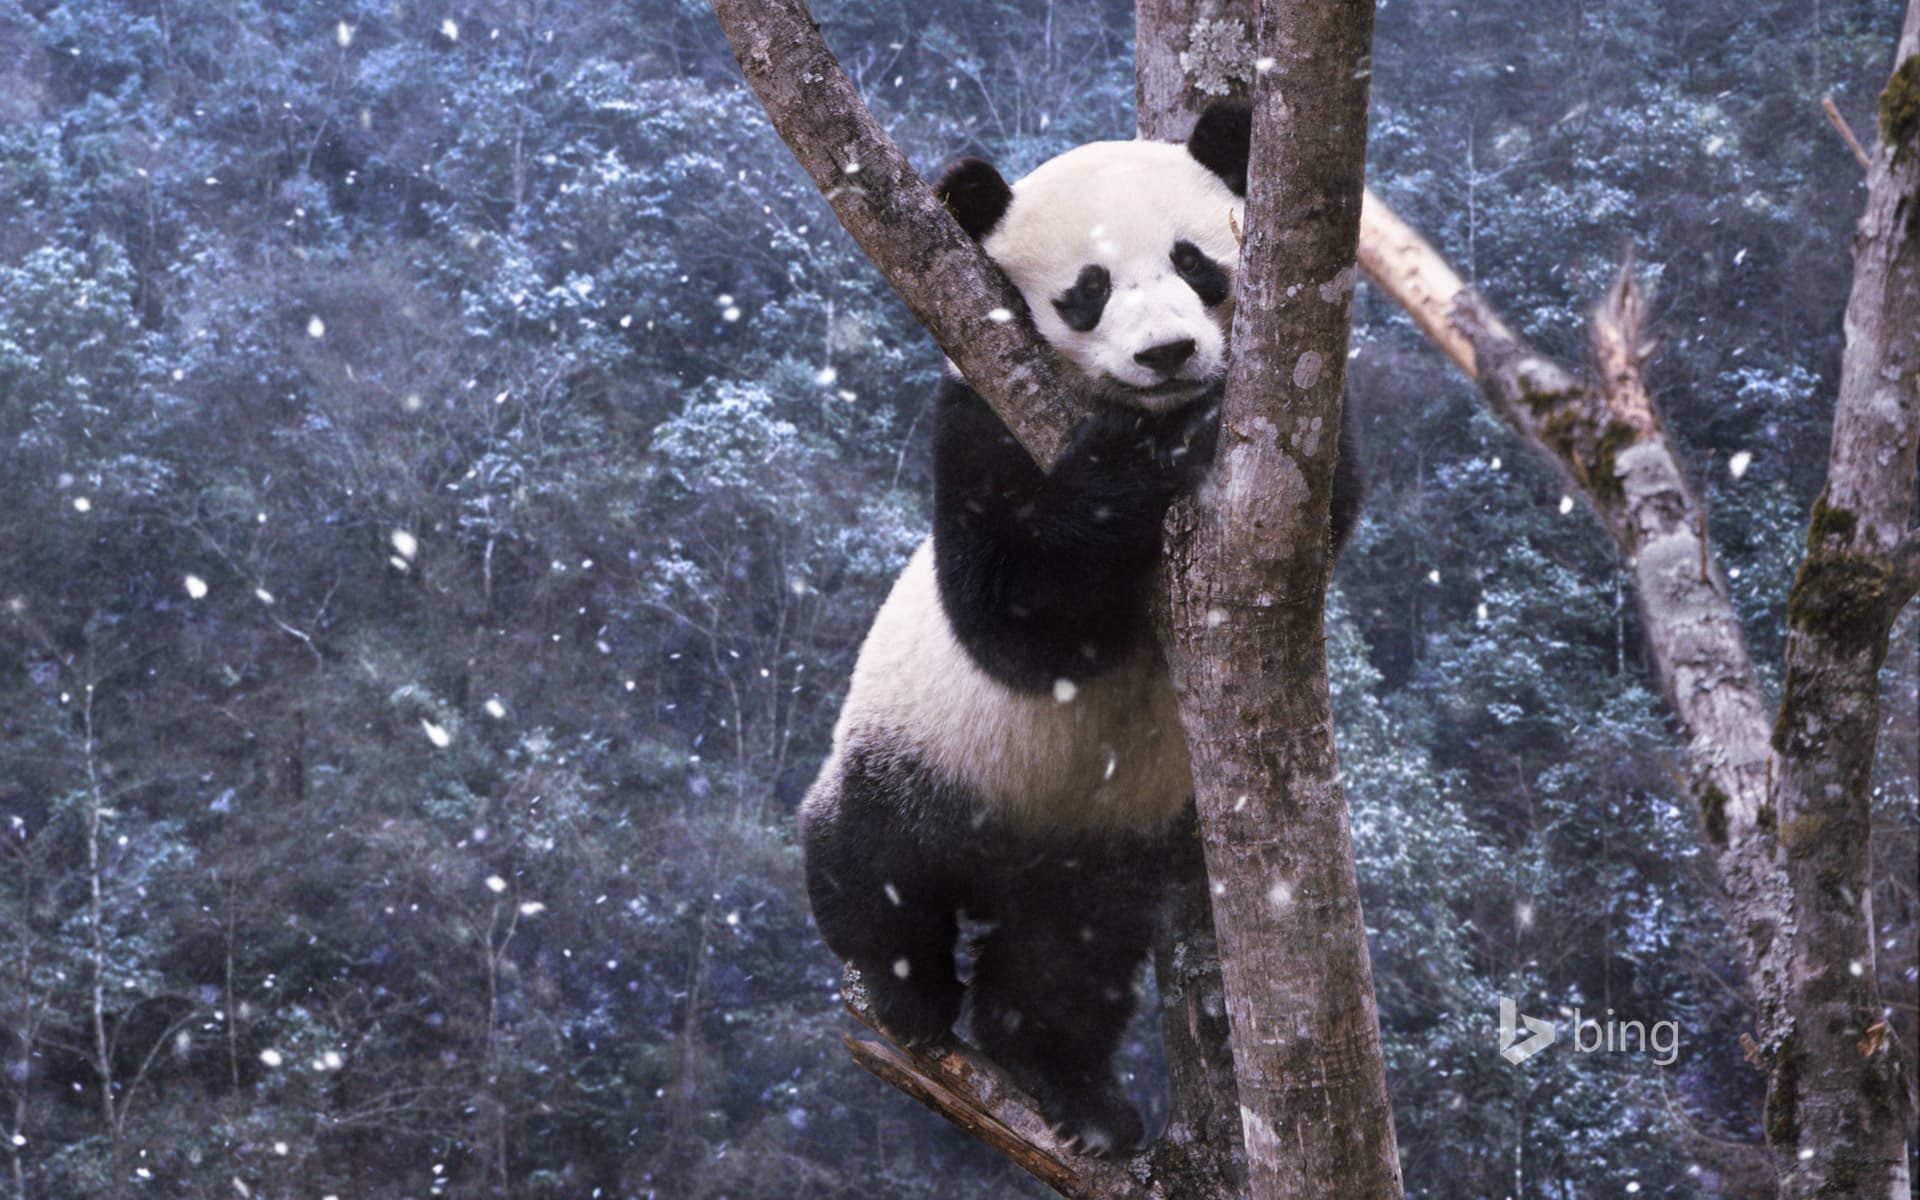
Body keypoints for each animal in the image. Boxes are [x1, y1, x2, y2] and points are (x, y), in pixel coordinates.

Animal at [799, 102, 1362, 1156]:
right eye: (1087, 292)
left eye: (1195, 263)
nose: (1168, 355)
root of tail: (1002, 863)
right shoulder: (977, 421)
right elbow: (1015, 616)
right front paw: (1140, 456)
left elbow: (1325, 498)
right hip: (917, 745)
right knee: (868, 859)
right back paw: (908, 996)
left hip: (1092, 851)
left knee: (1065, 965)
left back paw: (1080, 1099)